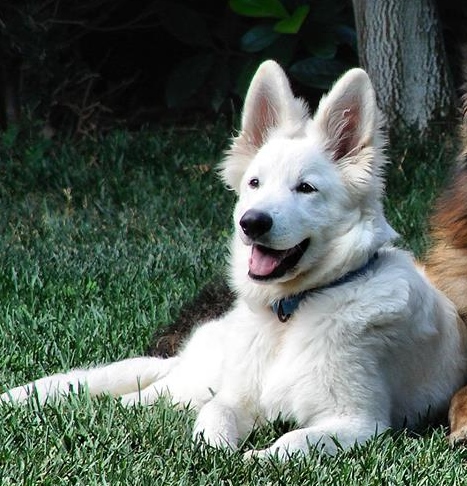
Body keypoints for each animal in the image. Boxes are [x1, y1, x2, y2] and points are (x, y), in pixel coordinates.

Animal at [3, 60, 467, 460]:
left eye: (306, 188)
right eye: (255, 183)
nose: (252, 223)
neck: (292, 311)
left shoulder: (358, 422)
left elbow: (292, 442)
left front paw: (254, 459)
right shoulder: (235, 398)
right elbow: (215, 420)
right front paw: (216, 451)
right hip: (187, 386)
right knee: (135, 397)